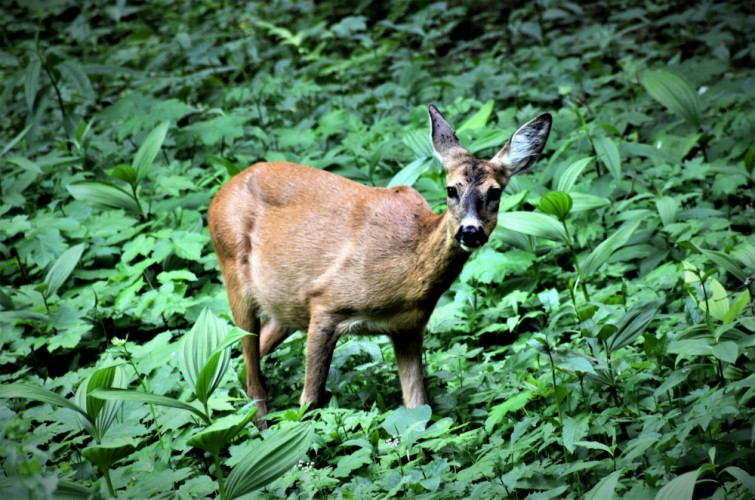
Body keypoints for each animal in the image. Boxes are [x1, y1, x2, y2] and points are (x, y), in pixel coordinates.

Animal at [210, 103, 552, 424]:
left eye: (495, 193)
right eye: (451, 189)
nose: (470, 231)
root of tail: (220, 192)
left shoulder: (408, 328)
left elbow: (418, 406)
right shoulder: (325, 304)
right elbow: (309, 402)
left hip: (286, 307)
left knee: (246, 362)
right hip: (233, 273)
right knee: (253, 377)